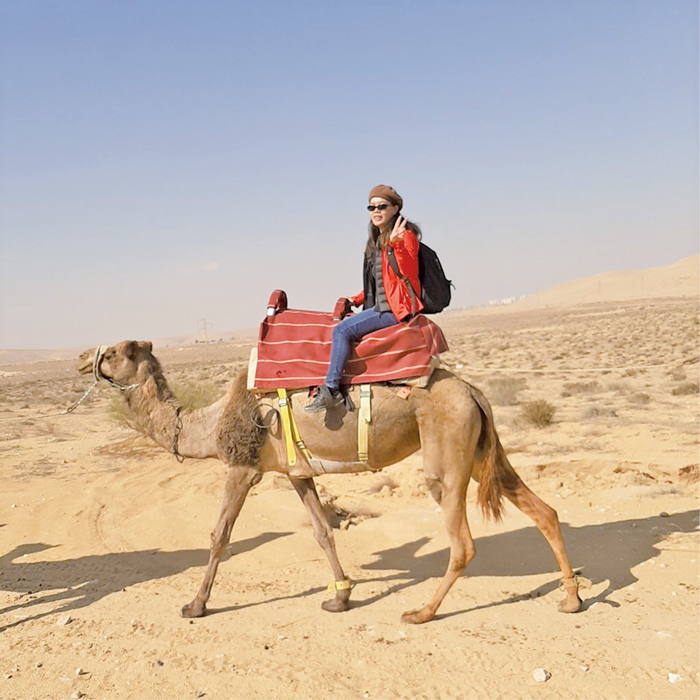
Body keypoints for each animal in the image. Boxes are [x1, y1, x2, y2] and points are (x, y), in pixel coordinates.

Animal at [75, 342, 584, 620]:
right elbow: (322, 531)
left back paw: (421, 613)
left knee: (462, 543)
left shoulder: (243, 468)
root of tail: (473, 391)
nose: (81, 358)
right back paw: (572, 599)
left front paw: (195, 606)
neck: (210, 421)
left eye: (115, 351)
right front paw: (340, 597)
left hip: (447, 455)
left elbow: (220, 535)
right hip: (480, 450)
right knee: (544, 510)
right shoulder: (297, 472)